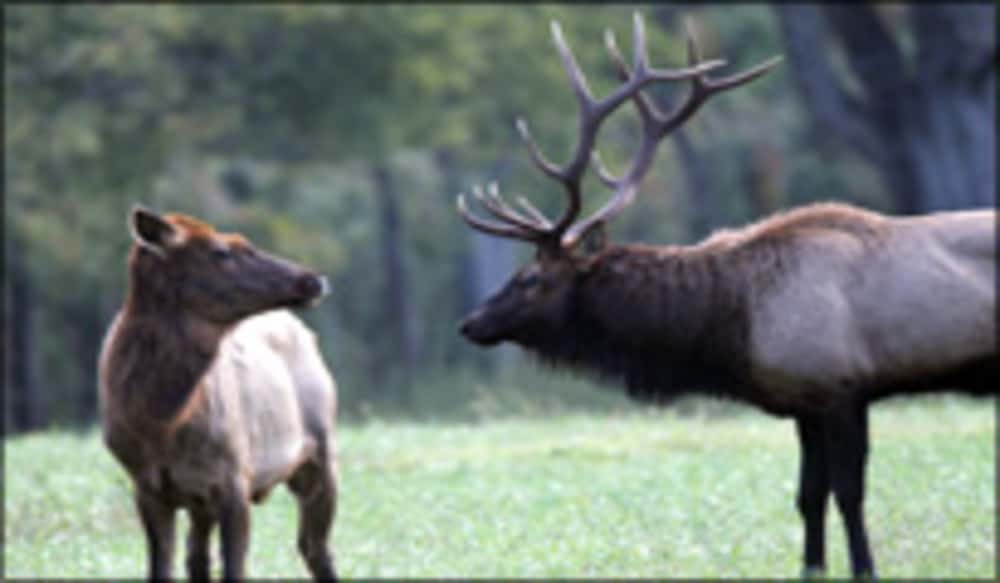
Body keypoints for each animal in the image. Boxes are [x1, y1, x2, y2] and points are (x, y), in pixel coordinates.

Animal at [98, 207, 339, 581]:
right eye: (221, 251)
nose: (314, 279)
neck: (161, 423)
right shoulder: (146, 485)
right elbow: (161, 569)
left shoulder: (234, 475)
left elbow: (235, 569)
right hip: (200, 501)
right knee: (197, 556)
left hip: (322, 450)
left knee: (316, 548)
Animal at [456, 12, 997, 579]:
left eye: (531, 278)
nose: (470, 322)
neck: (733, 322)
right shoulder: (805, 400)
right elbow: (809, 496)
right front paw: (811, 568)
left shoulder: (843, 386)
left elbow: (849, 494)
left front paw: (865, 568)